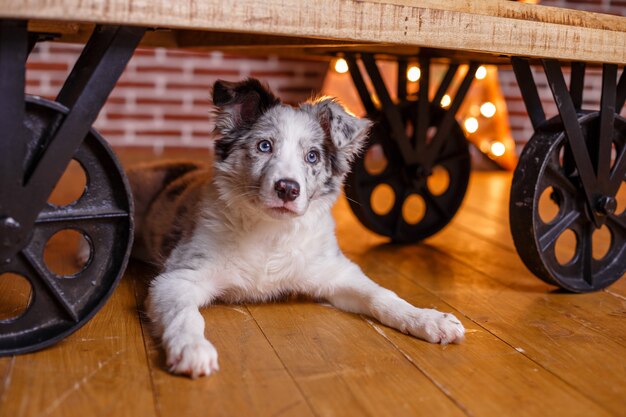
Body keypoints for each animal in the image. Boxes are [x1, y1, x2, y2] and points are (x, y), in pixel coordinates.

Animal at [130, 78, 464, 376]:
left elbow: (382, 295)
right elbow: (186, 316)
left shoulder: (335, 272)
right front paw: (192, 349)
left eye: (312, 156)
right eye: (264, 146)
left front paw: (429, 319)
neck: (270, 232)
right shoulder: (178, 278)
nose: (288, 189)